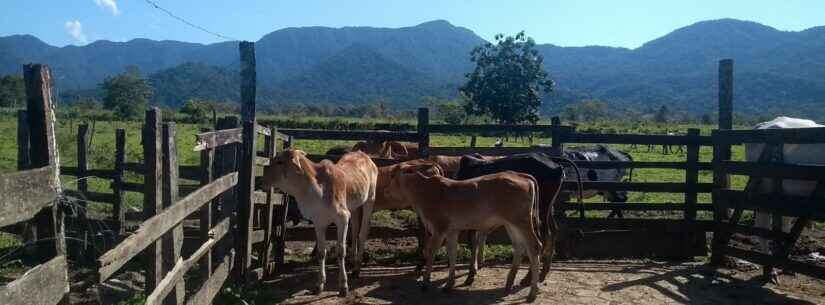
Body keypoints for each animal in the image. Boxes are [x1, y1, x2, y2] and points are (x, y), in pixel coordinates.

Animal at [260, 148, 376, 296]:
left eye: (280, 161)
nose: (262, 180)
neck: (315, 191)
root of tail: (364, 155)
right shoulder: (318, 222)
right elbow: (321, 252)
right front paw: (319, 285)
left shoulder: (343, 218)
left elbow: (340, 251)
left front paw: (343, 286)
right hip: (355, 207)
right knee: (355, 231)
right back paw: (352, 262)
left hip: (370, 200)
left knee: (362, 234)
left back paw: (357, 269)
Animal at [386, 166, 548, 302]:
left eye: (393, 175)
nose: (387, 189)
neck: (424, 191)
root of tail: (520, 175)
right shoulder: (452, 230)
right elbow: (452, 253)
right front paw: (449, 284)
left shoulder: (439, 228)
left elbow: (431, 252)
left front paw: (425, 282)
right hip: (511, 224)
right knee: (519, 246)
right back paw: (508, 285)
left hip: (522, 221)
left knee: (534, 246)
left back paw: (532, 293)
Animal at [454, 152, 584, 282]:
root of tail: (550, 160)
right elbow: (480, 238)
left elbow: (473, 242)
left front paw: (471, 273)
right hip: (548, 208)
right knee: (553, 231)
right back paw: (543, 273)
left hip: (541, 208)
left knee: (543, 237)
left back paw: (528, 277)